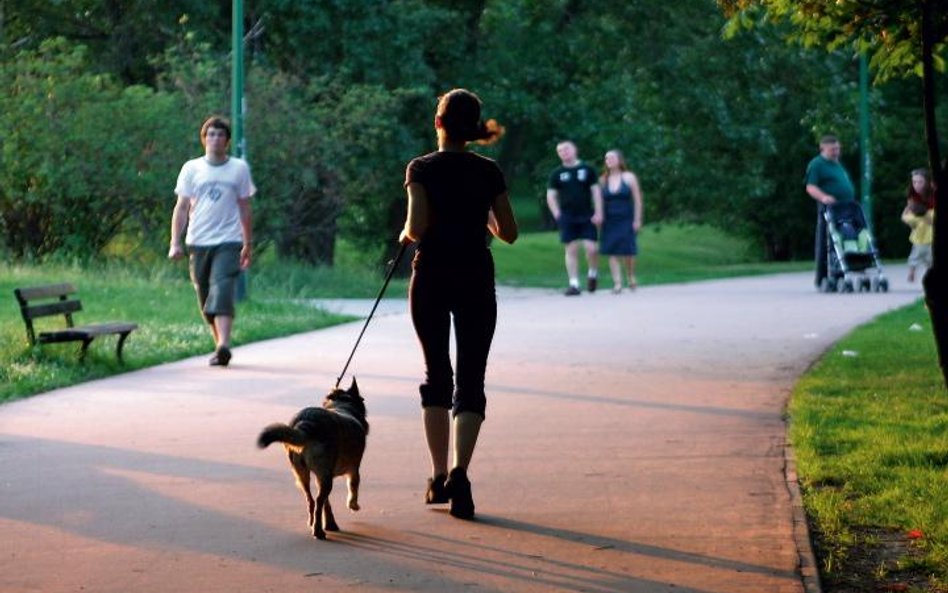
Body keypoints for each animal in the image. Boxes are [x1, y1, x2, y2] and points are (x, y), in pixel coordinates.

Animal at [258, 376, 368, 540]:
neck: (343, 404)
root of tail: (305, 424)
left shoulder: (321, 475)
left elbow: (326, 504)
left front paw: (329, 523)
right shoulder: (353, 470)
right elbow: (353, 488)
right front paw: (353, 505)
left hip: (302, 473)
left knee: (311, 499)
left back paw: (313, 523)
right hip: (325, 476)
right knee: (318, 500)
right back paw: (318, 531)